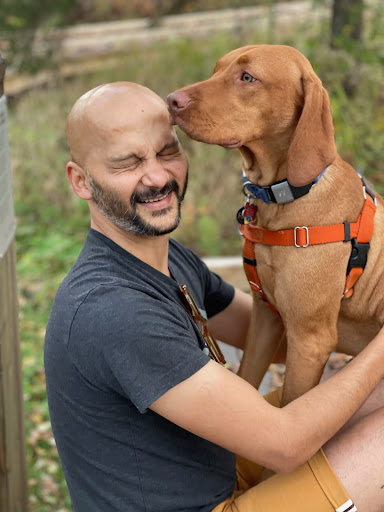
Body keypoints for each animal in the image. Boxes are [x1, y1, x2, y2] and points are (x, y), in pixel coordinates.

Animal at [168, 44, 384, 404]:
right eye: (216, 70)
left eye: (247, 77)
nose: (171, 100)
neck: (286, 197)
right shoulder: (264, 319)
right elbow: (247, 380)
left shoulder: (310, 341)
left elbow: (294, 407)